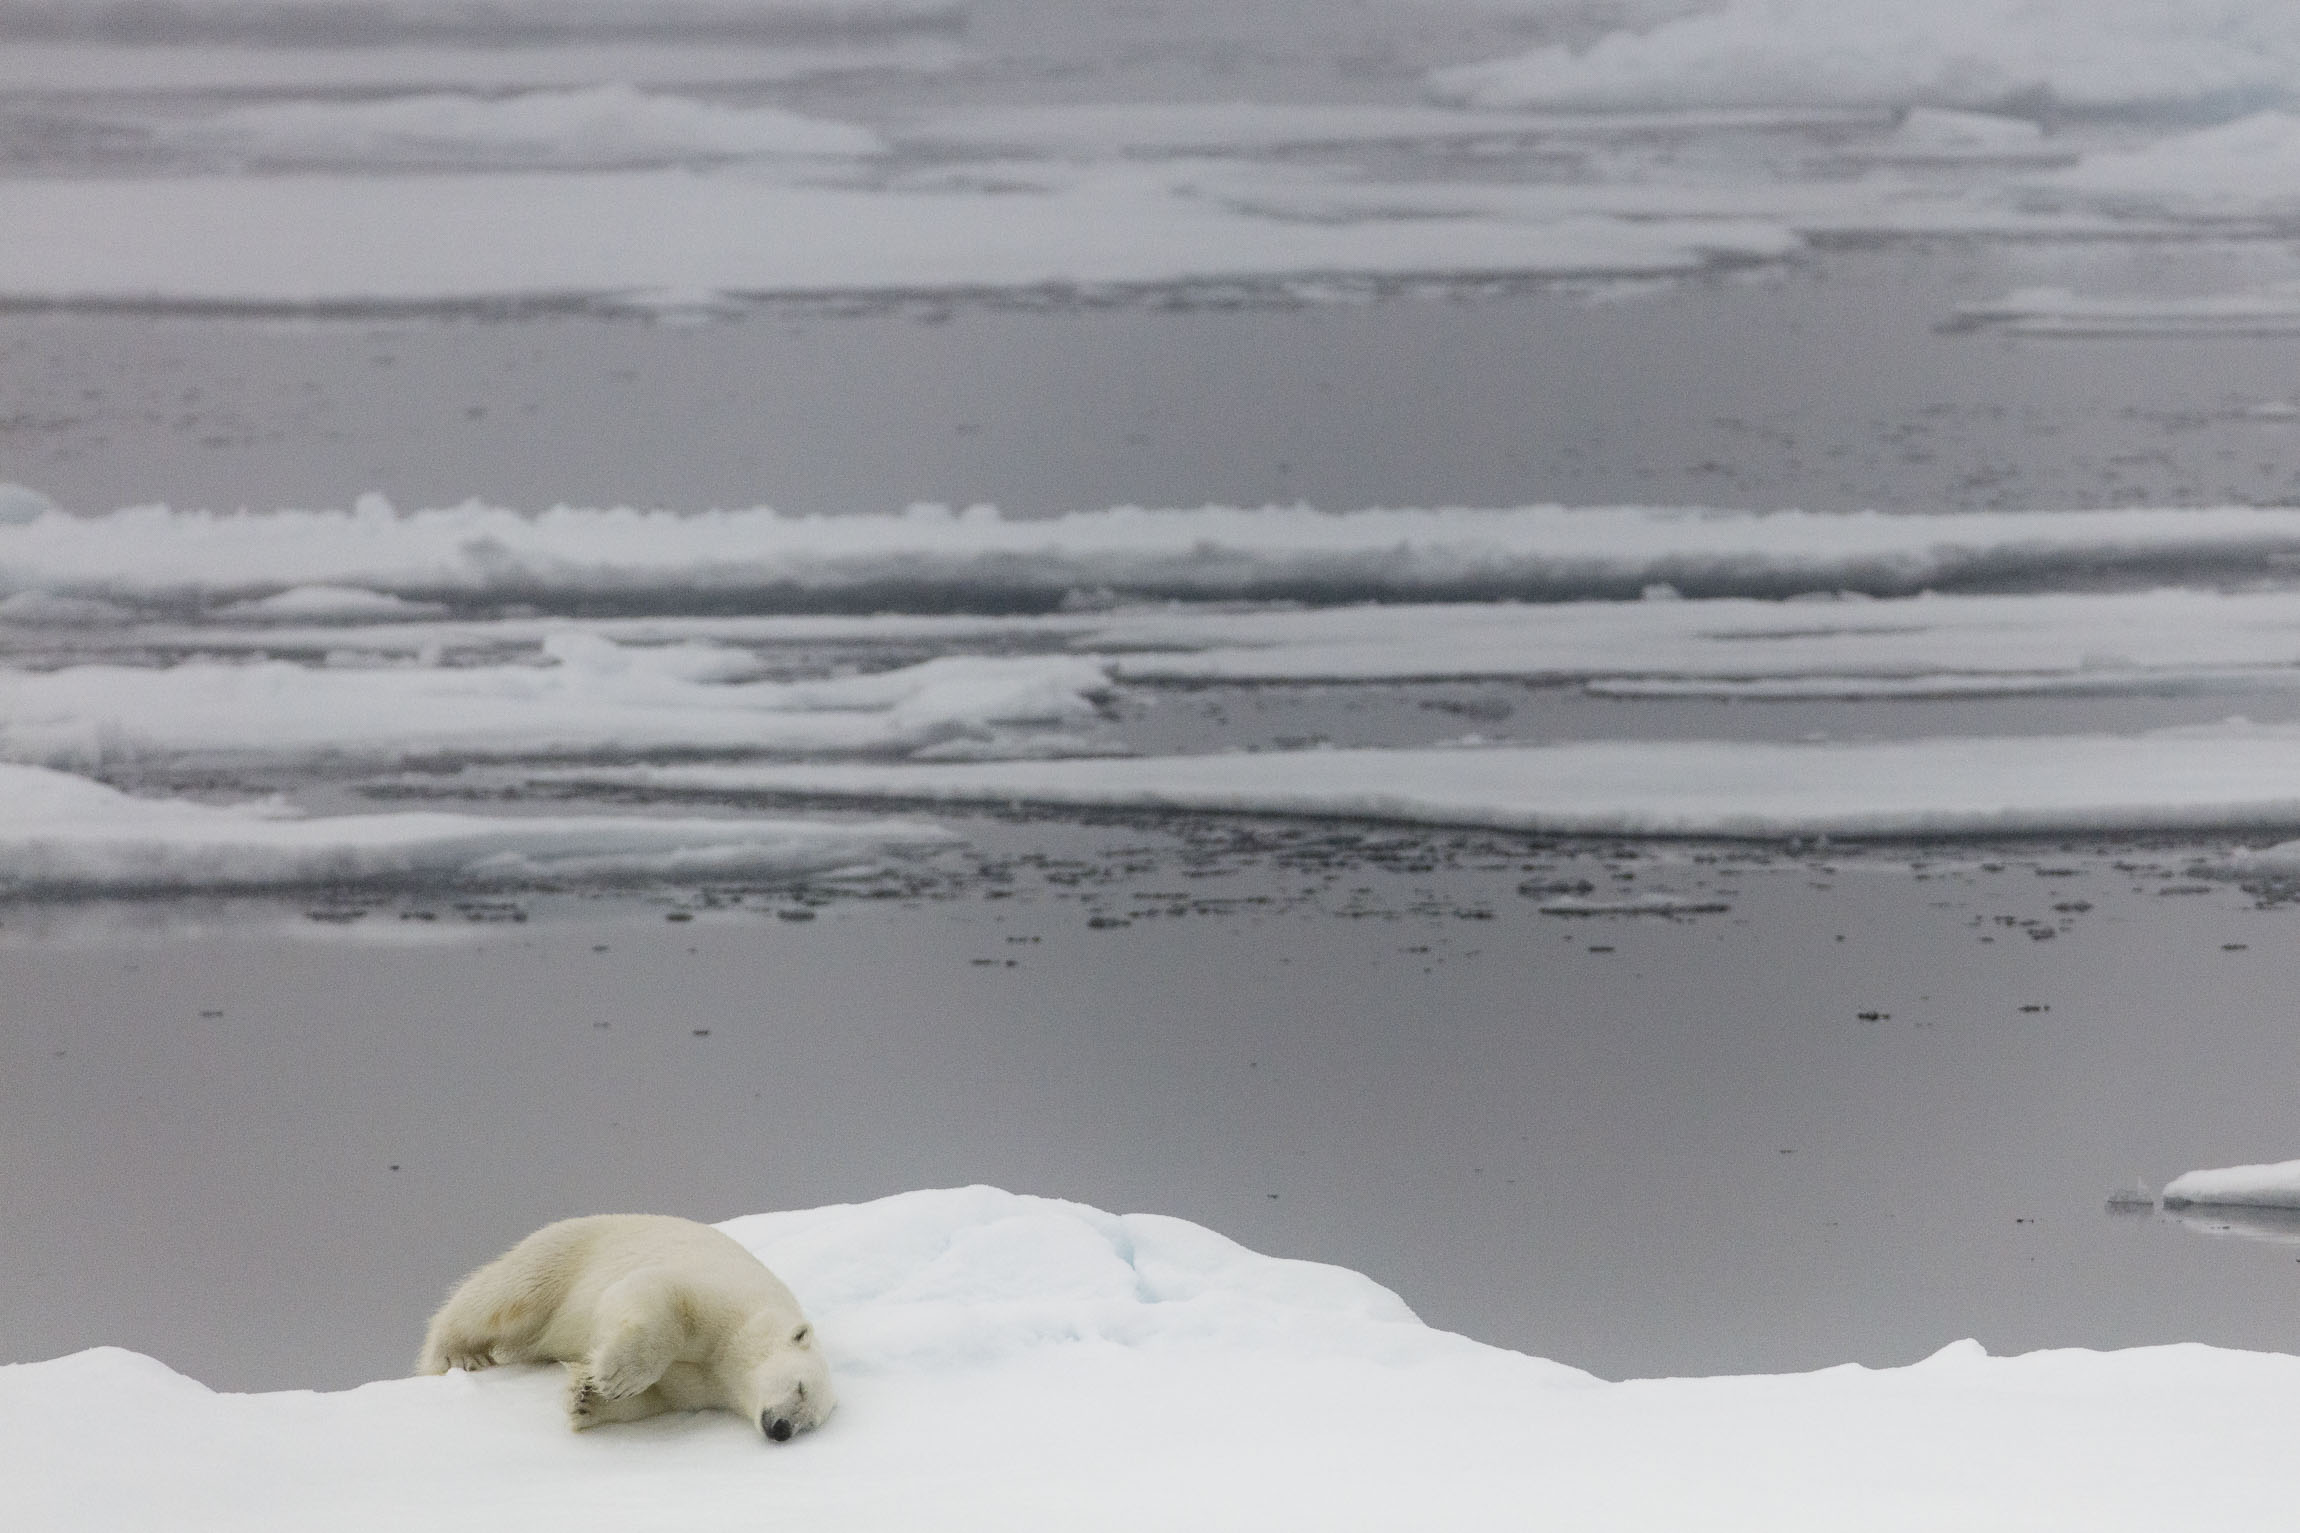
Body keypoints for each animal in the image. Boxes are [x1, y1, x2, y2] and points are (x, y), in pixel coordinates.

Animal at [418, 1213, 841, 1443]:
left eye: (810, 1423)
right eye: (800, 1388)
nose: (782, 1428)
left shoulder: (703, 1388)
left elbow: (658, 1397)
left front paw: (586, 1397)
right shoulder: (725, 1297)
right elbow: (652, 1293)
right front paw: (618, 1375)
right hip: (564, 1253)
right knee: (503, 1296)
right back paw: (458, 1355)